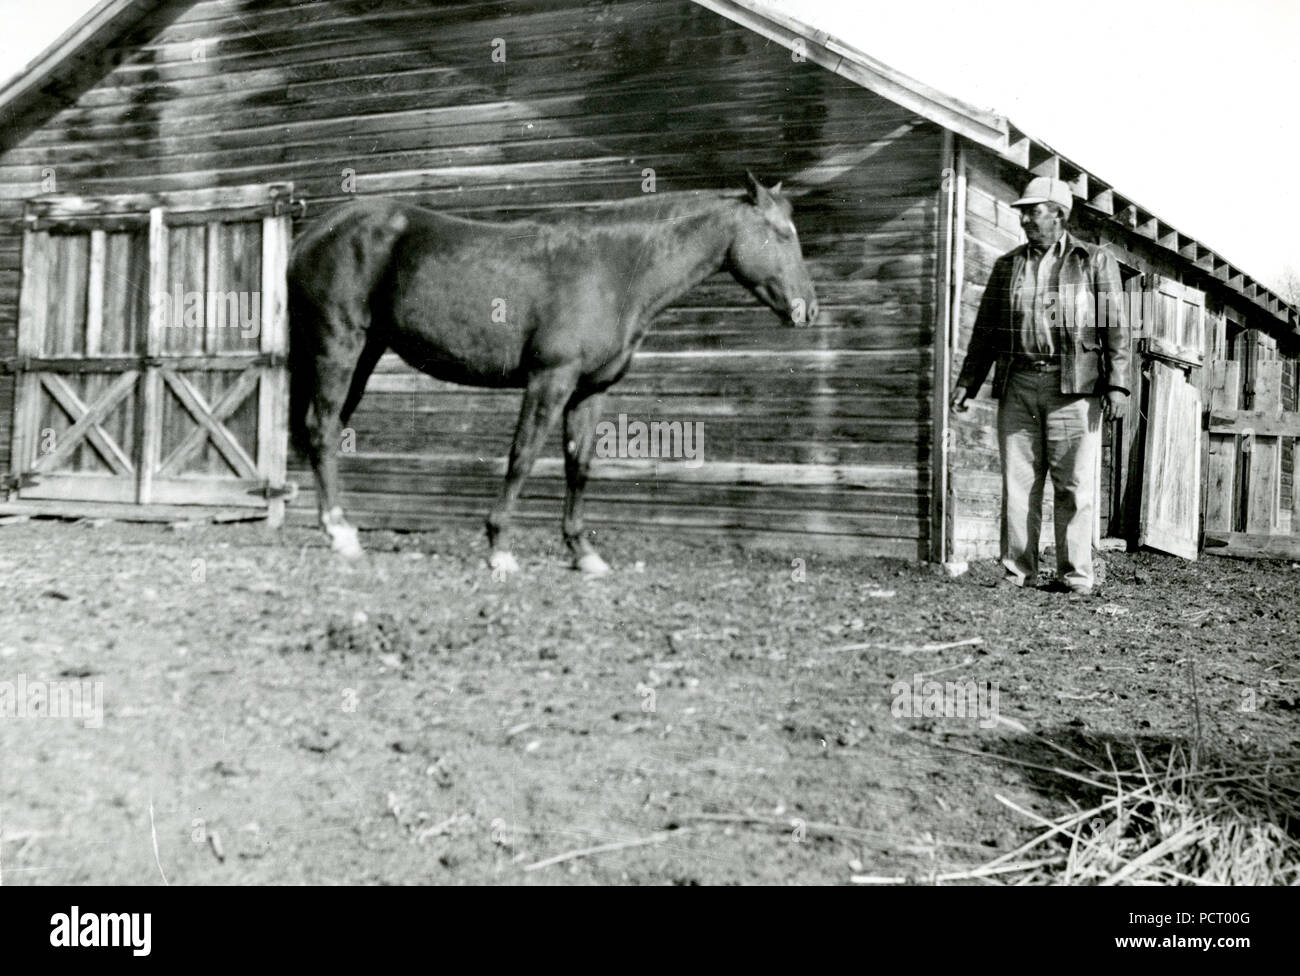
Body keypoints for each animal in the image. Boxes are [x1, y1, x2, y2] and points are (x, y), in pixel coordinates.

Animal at [286, 173, 818, 576]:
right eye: (780, 233)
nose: (807, 310)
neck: (615, 267)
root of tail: (310, 236)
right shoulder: (550, 380)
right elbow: (522, 457)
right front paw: (500, 548)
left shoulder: (591, 390)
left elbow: (578, 466)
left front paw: (583, 553)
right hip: (339, 347)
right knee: (322, 428)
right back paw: (340, 533)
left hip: (365, 354)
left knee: (325, 430)